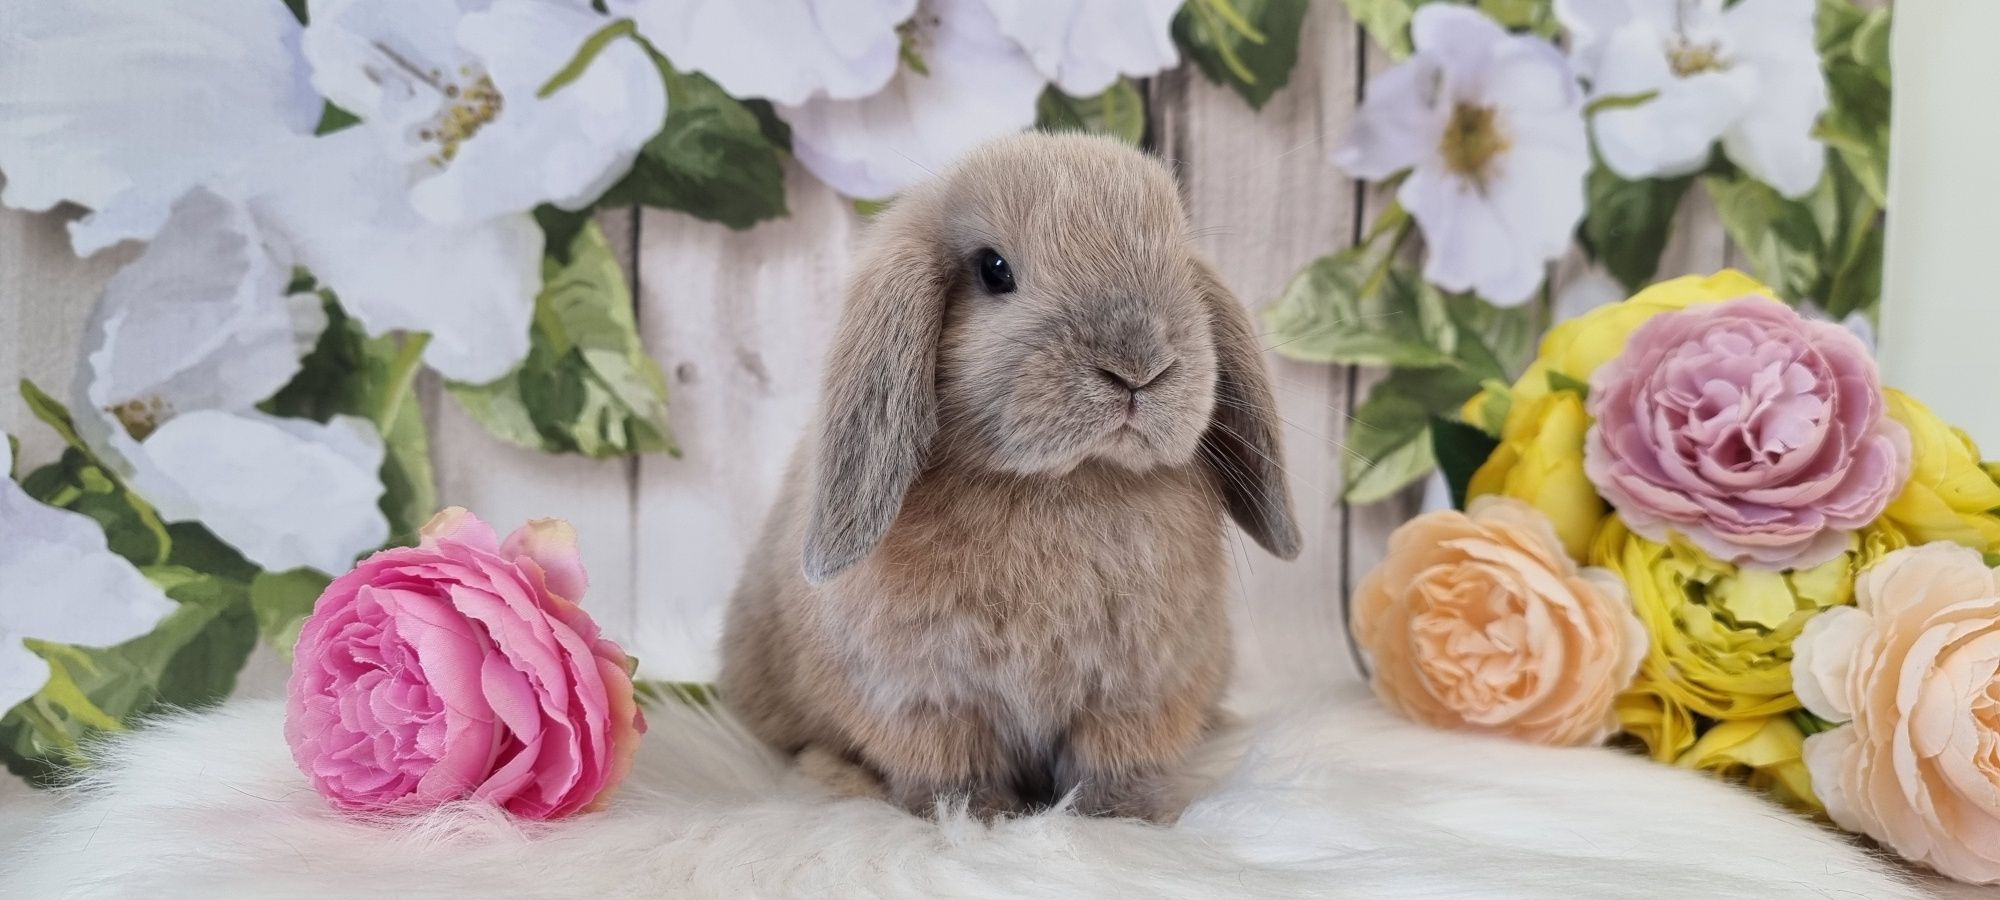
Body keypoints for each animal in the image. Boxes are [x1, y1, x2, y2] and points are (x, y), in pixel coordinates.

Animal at [716, 134, 1296, 824]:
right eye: (994, 270)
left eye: (1179, 263)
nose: (1138, 367)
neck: (1062, 484)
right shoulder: (925, 698)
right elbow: (951, 769)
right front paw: (977, 818)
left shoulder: (1138, 691)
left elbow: (1118, 760)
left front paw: (1123, 818)